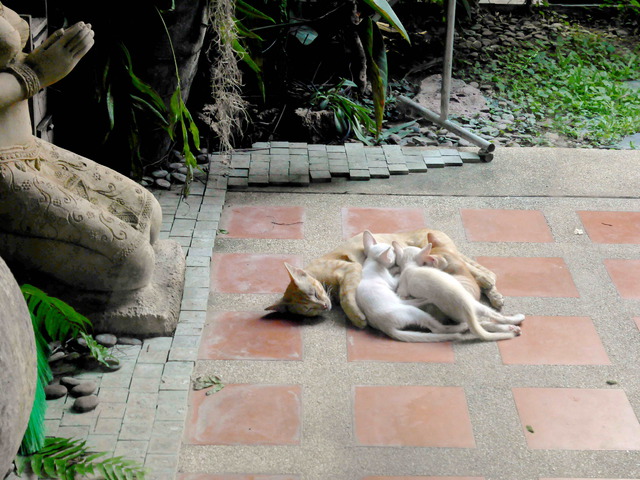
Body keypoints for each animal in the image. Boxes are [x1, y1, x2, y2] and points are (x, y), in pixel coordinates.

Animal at [266, 227, 504, 328]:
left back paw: (491, 288)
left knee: (483, 273)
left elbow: (347, 297)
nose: (324, 306)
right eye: (309, 309)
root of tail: (434, 228)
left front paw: (357, 318)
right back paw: (495, 298)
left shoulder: (348, 270)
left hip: (435, 251)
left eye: (314, 294)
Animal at [396, 244, 524, 342]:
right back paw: (515, 322)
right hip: (475, 307)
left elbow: (402, 294)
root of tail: (465, 306)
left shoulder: (403, 287)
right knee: (494, 317)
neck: (411, 266)